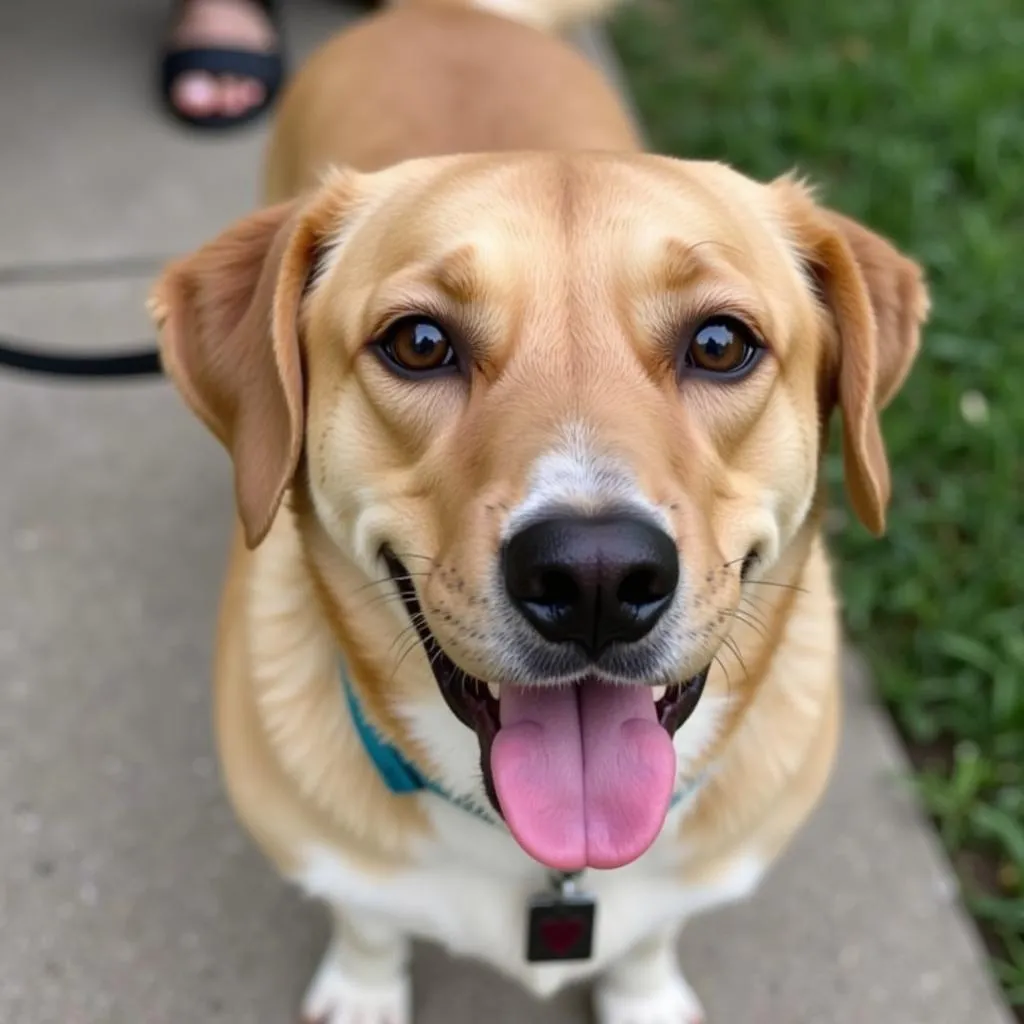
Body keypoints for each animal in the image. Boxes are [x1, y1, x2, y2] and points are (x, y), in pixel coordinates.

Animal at [149, 0, 929, 1019]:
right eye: (418, 342)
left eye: (721, 344)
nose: (596, 576)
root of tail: (442, 13)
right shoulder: (328, 858)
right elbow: (367, 921)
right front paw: (364, 990)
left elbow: (651, 938)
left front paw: (644, 995)